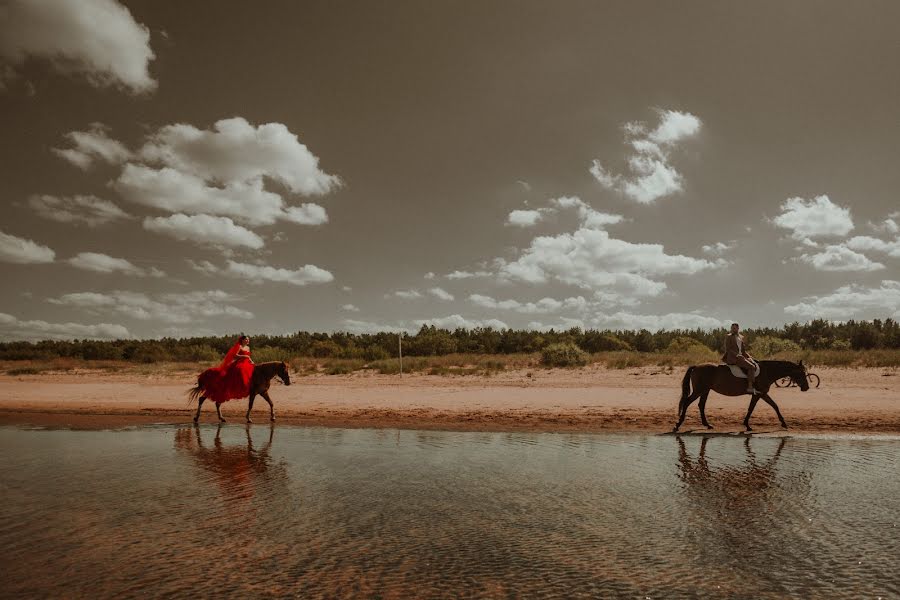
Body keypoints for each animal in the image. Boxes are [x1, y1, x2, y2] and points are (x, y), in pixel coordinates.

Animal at [672, 360, 812, 432]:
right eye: (801, 373)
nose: (806, 387)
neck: (767, 371)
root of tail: (696, 366)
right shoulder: (761, 394)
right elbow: (769, 406)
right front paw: (783, 423)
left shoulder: (760, 394)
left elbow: (762, 407)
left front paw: (747, 424)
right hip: (699, 390)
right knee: (687, 402)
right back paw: (678, 424)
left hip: (705, 391)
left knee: (701, 405)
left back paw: (707, 425)